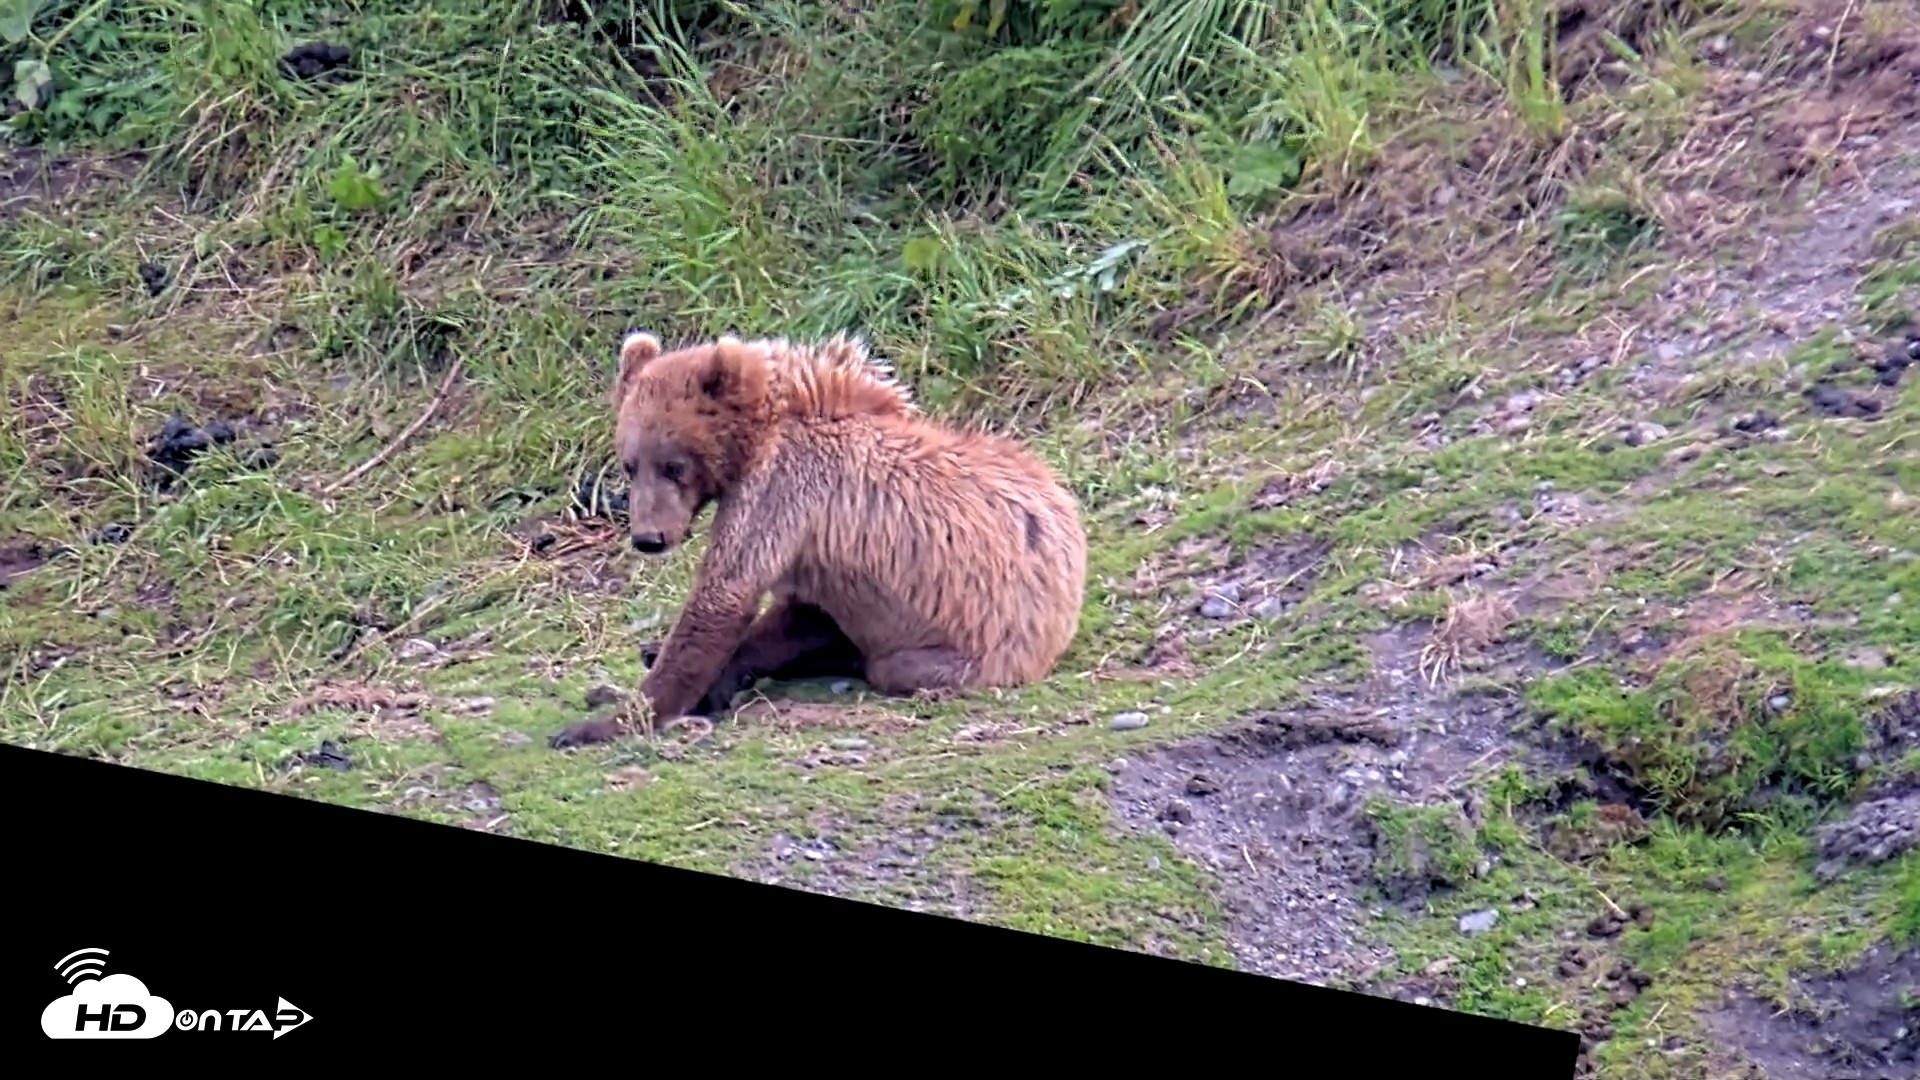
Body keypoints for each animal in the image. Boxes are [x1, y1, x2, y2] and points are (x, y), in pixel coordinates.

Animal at [547, 329, 1089, 749]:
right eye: (629, 464)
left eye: (673, 466)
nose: (649, 538)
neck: (754, 441)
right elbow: (793, 613)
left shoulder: (782, 490)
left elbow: (724, 594)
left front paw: (600, 724)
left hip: (977, 644)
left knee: (893, 665)